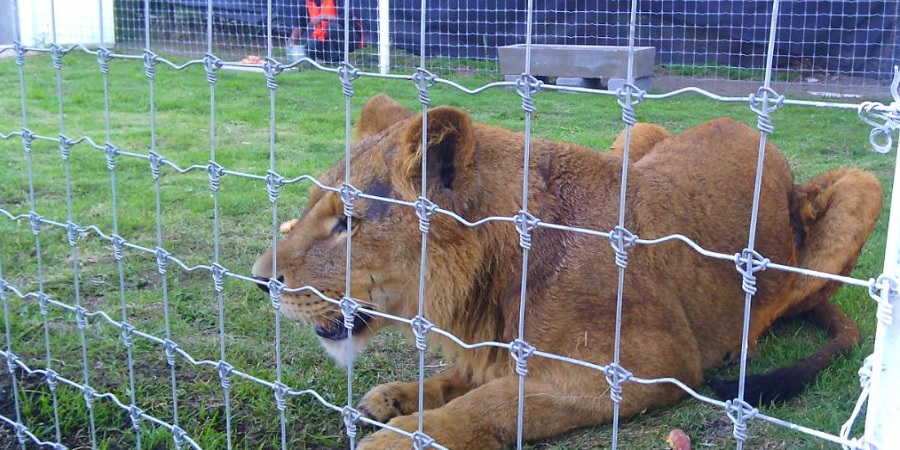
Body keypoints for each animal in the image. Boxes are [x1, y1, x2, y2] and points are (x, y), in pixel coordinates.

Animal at [250, 93, 884, 448]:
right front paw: (397, 397)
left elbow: (493, 402)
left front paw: (401, 438)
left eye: (347, 222)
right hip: (637, 137)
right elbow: (470, 379)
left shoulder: (648, 365)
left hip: (863, 186)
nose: (259, 279)